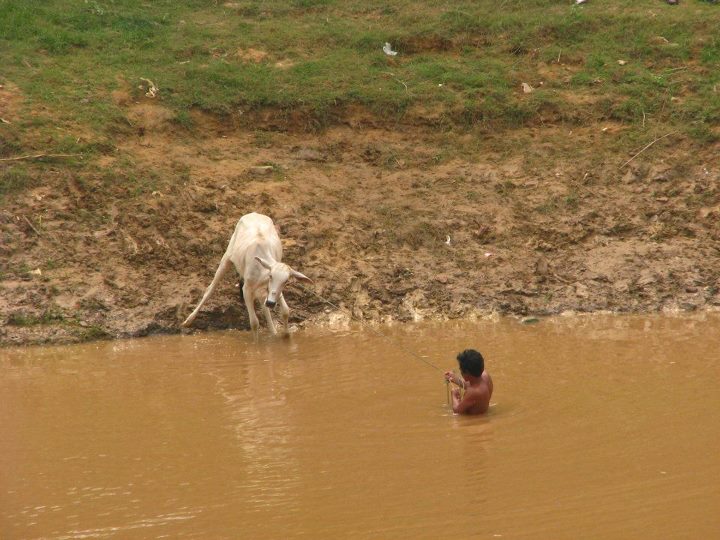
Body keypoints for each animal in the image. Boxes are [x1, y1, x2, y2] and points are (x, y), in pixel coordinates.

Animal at [181, 213, 310, 340]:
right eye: (271, 276)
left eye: (286, 281)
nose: (271, 303)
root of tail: (253, 213)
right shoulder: (247, 289)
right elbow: (254, 323)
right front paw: (256, 344)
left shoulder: (272, 290)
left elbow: (285, 311)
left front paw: (286, 336)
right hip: (226, 258)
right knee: (210, 289)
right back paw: (188, 321)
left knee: (264, 305)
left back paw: (273, 332)